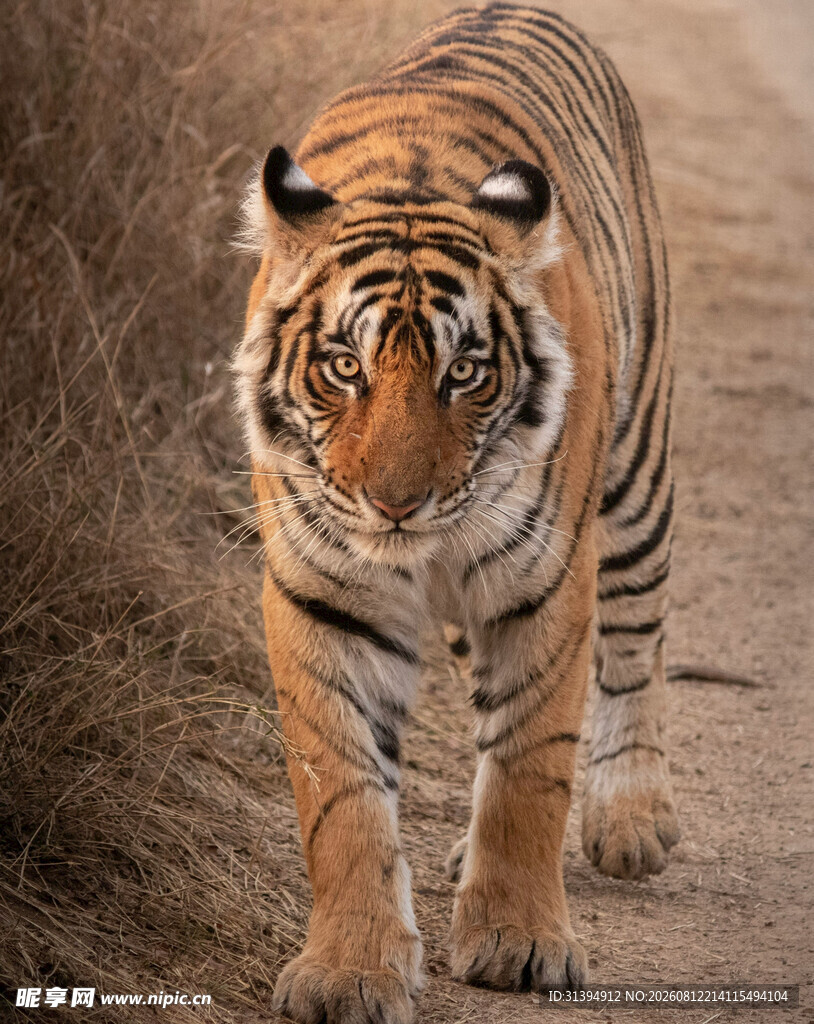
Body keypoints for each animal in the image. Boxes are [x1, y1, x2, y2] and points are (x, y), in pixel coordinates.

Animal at [234, 3, 680, 1021]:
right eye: (344, 367)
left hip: (635, 476)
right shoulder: (324, 592)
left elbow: (528, 768)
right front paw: (350, 970)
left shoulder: (544, 581)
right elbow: (342, 797)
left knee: (635, 642)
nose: (396, 504)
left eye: (465, 373)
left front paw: (519, 941)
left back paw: (632, 815)